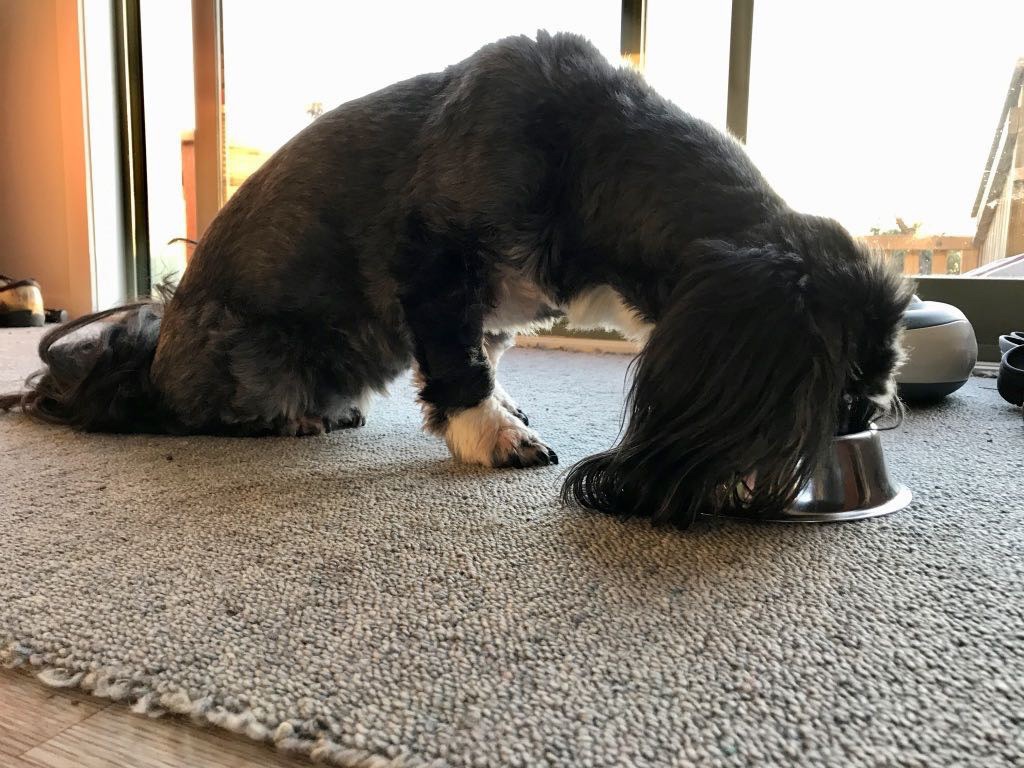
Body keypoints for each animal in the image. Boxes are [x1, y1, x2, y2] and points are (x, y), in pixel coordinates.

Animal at [0, 34, 913, 528]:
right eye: (836, 392)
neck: (589, 152)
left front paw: (506, 410)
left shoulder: (491, 310)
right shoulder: (433, 263)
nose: (863, 417)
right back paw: (289, 418)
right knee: (201, 414)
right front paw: (494, 435)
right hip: (245, 355)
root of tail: (147, 359)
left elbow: (486, 358)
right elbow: (459, 366)